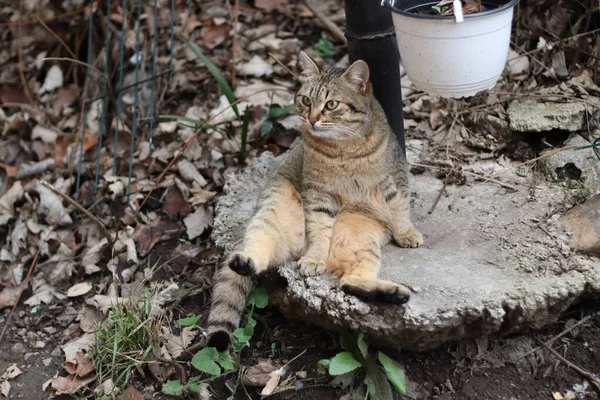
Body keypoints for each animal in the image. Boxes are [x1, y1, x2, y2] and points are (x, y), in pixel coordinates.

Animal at [206, 50, 422, 350]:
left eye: (331, 104)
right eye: (306, 100)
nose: (311, 119)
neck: (344, 149)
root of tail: (298, 246)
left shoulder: (392, 178)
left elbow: (399, 206)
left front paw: (406, 233)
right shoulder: (318, 195)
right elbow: (319, 229)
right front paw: (315, 257)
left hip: (362, 241)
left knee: (350, 282)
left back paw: (391, 293)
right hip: (271, 215)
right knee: (260, 252)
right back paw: (249, 261)